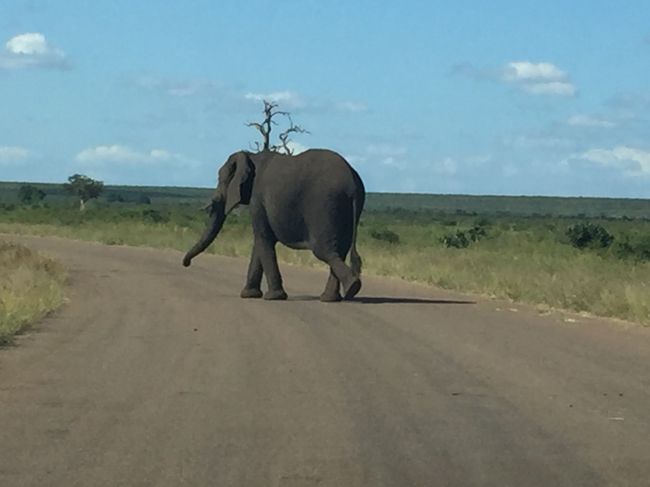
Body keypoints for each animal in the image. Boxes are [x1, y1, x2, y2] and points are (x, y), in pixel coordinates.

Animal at [182, 149, 364, 302]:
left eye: (221, 179)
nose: (186, 264)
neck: (251, 156)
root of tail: (352, 183)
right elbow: (260, 243)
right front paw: (249, 295)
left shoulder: (257, 199)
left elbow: (263, 239)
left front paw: (273, 297)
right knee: (340, 250)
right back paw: (332, 297)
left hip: (325, 205)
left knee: (324, 250)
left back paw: (351, 289)